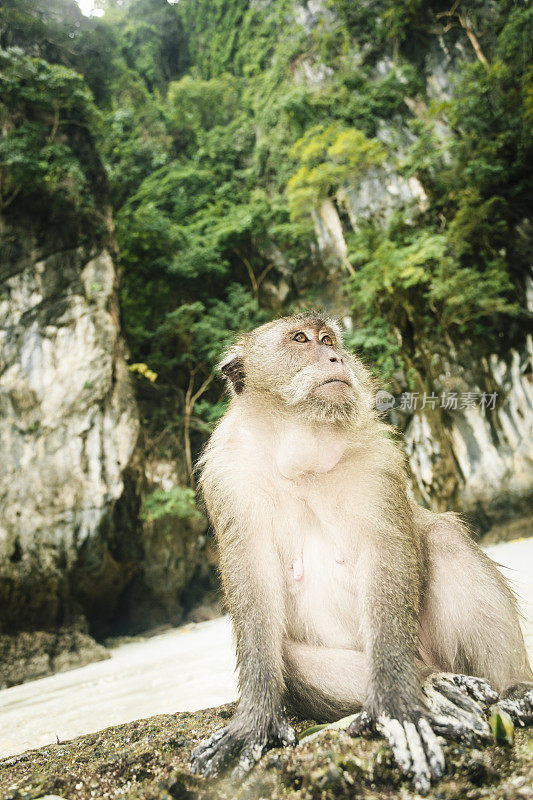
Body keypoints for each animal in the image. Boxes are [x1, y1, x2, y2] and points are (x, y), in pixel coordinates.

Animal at [189, 310, 528, 792]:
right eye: (301, 339)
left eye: (329, 339)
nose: (336, 357)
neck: (302, 450)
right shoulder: (229, 475)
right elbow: (251, 580)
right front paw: (256, 717)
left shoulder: (377, 457)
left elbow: (386, 552)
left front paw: (395, 699)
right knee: (290, 657)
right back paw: (435, 685)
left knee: (444, 538)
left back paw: (510, 689)